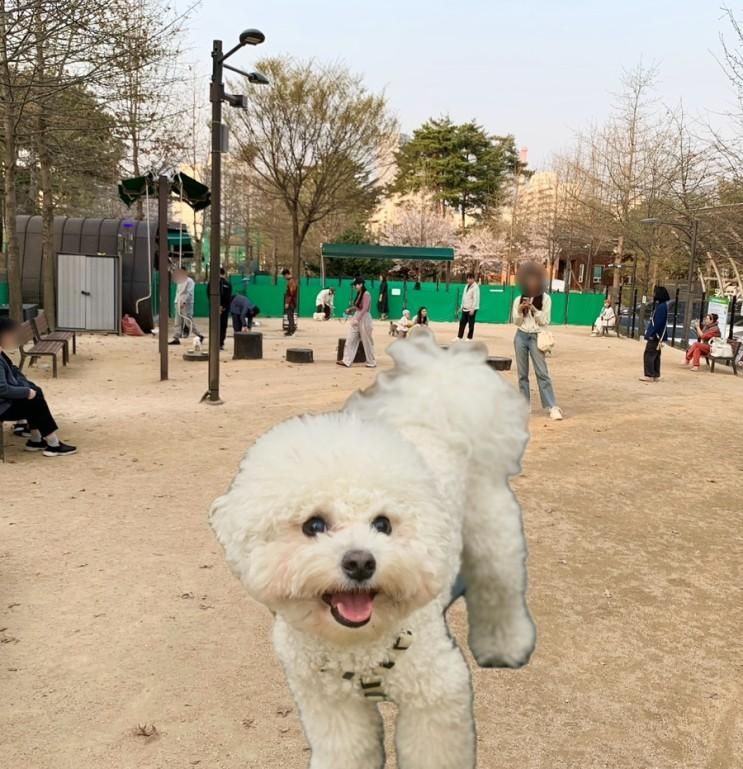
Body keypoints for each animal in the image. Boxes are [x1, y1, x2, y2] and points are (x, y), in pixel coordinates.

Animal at [209, 336, 536, 768]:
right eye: (314, 525)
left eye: (383, 524)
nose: (361, 562)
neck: (358, 647)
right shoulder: (330, 705)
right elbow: (347, 748)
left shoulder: (436, 698)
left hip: (492, 537)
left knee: (500, 590)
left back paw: (505, 648)